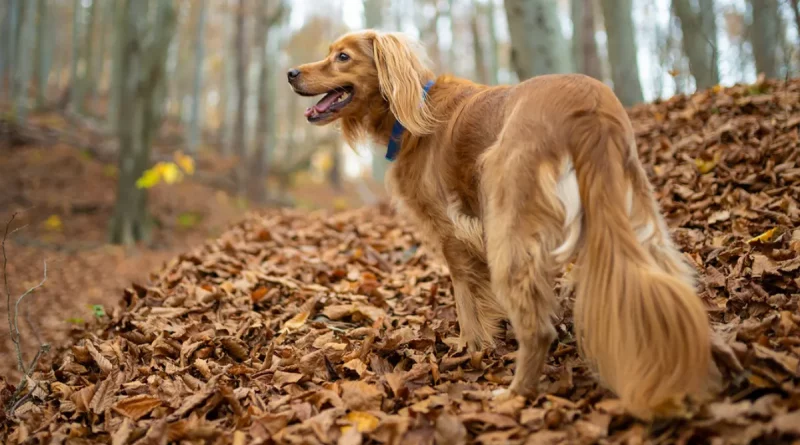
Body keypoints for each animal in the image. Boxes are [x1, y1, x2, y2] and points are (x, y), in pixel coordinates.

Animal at [288, 29, 712, 418]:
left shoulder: (451, 231)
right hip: (637, 210)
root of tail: (588, 105)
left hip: (508, 218)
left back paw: (513, 393)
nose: (291, 72)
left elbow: (464, 298)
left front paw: (470, 348)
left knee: (538, 328)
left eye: (342, 57)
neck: (416, 112)